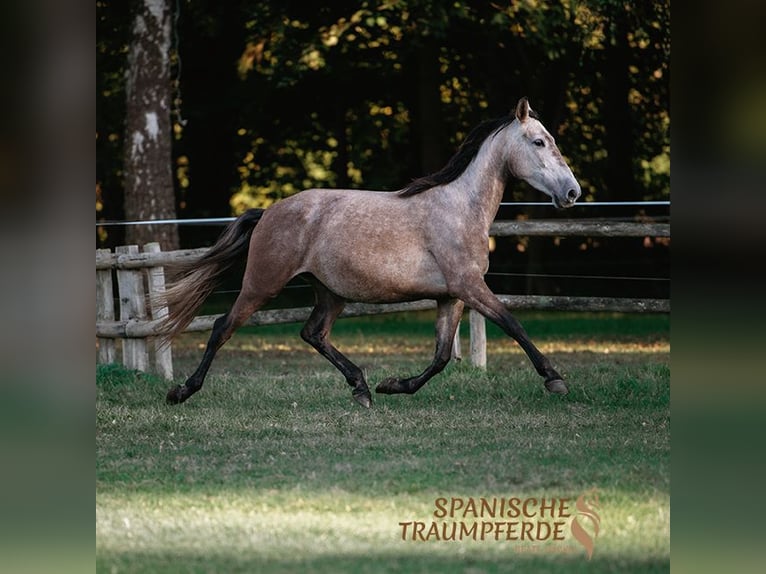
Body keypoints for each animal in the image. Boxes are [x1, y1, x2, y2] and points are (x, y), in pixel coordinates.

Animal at [162, 97, 584, 408]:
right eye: (539, 142)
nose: (572, 193)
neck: (459, 208)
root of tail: (268, 211)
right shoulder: (469, 287)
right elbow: (512, 324)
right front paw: (555, 379)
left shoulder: (451, 296)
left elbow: (441, 357)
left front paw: (393, 385)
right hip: (262, 284)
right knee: (223, 326)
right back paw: (181, 391)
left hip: (330, 293)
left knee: (313, 333)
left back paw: (362, 388)